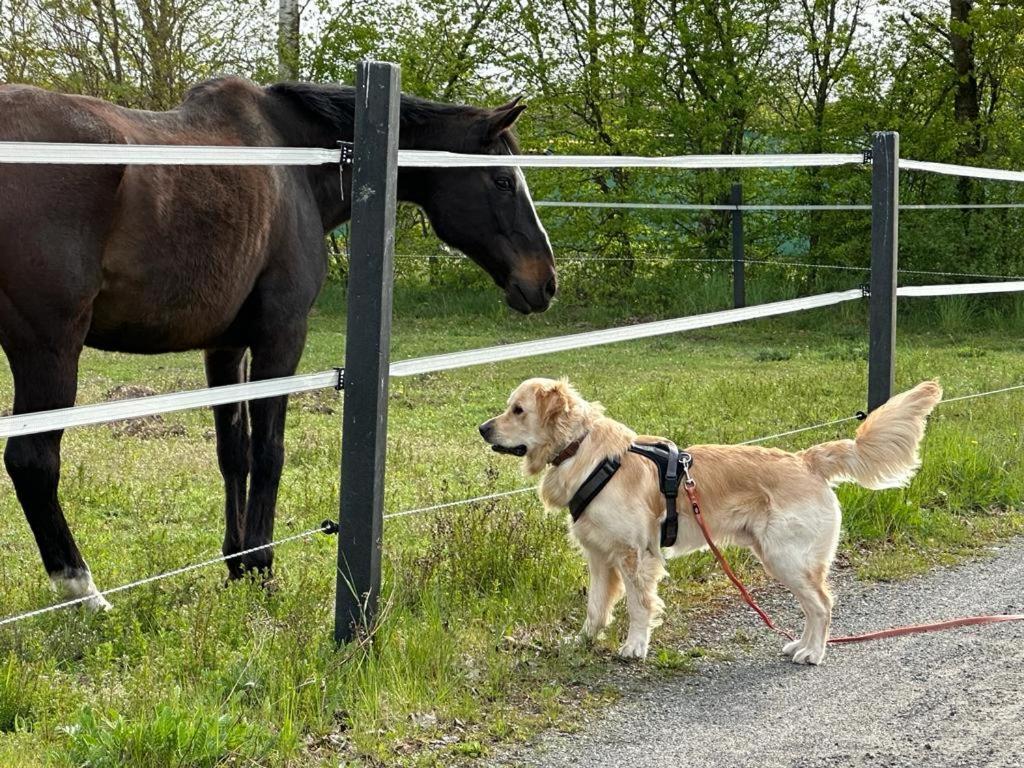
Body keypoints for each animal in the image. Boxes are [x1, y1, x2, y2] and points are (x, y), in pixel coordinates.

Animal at [0, 76, 557, 606]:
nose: (545, 282)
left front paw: (234, 562)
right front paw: (260, 567)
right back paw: (83, 592)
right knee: (33, 463)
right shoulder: (281, 336)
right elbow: (269, 451)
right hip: (49, 350)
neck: (297, 165)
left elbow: (234, 451)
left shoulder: (225, 347)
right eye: (503, 180)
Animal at [479, 380, 942, 667]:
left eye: (517, 410)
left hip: (787, 558)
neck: (582, 452)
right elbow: (595, 607)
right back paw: (800, 643)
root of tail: (806, 459)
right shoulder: (599, 556)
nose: (482, 428)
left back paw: (813, 653)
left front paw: (635, 646)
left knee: (823, 605)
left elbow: (638, 606)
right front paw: (581, 642)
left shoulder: (635, 556)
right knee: (814, 607)